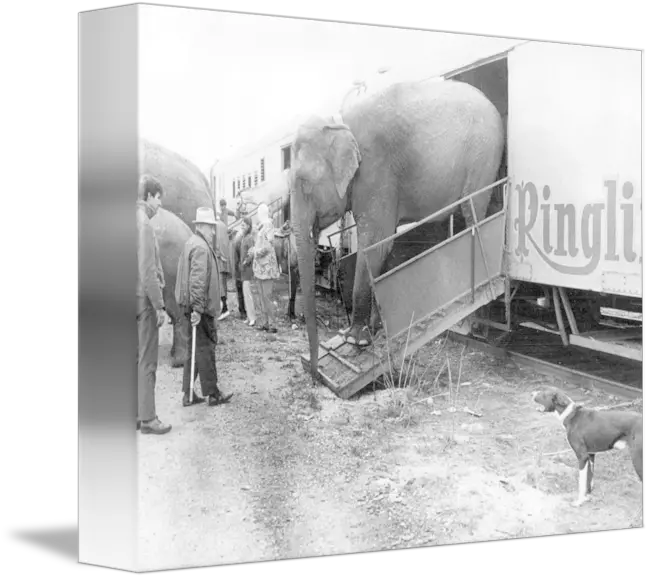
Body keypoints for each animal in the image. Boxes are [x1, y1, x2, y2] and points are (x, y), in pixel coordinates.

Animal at [292, 79, 508, 380]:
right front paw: (375, 330)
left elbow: (376, 242)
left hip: (483, 153)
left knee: (473, 210)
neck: (338, 121)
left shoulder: (376, 172)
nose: (314, 374)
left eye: (303, 182)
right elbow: (384, 247)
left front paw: (355, 339)